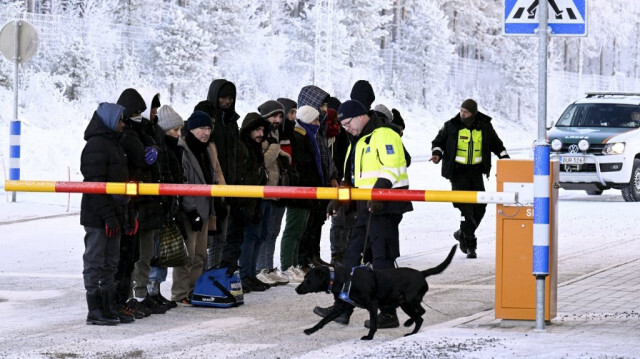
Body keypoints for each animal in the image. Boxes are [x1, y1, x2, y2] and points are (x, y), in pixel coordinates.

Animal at [296, 246, 456, 342]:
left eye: (308, 280)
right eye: (304, 278)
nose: (297, 289)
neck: (341, 279)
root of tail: (422, 274)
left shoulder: (372, 306)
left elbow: (373, 324)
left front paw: (369, 337)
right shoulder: (340, 307)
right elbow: (324, 320)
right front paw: (311, 330)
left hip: (407, 302)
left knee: (420, 317)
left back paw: (411, 332)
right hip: (407, 302)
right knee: (421, 312)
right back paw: (409, 323)